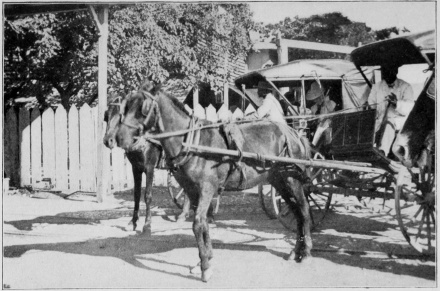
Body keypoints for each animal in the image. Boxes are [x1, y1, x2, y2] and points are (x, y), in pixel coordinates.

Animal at [104, 94, 192, 234]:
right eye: (106, 116)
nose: (108, 141)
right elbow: (136, 195)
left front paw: (147, 225)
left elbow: (147, 196)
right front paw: (133, 222)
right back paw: (183, 214)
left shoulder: (149, 168)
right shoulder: (136, 168)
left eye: (120, 116)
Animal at [115, 80, 312, 282]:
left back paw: (305, 252)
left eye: (143, 108)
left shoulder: (206, 189)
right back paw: (295, 251)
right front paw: (205, 259)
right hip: (278, 180)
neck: (192, 143)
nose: (119, 137)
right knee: (296, 211)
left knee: (303, 210)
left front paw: (205, 266)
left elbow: (197, 224)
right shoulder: (192, 190)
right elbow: (203, 224)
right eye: (127, 106)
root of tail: (294, 133)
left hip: (291, 179)